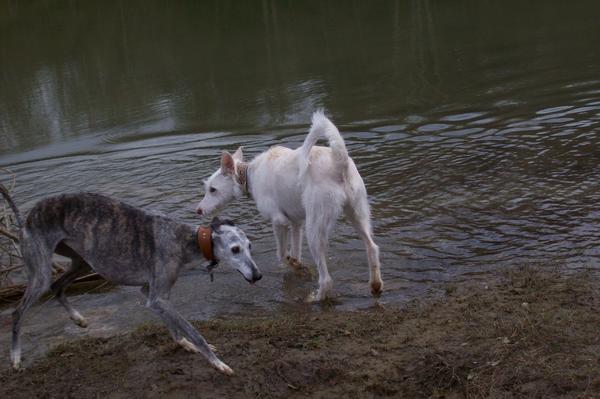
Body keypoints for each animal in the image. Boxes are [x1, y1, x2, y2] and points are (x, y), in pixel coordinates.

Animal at [197, 111, 384, 302]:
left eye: (212, 189)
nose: (198, 210)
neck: (249, 174)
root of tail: (340, 161)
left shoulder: (279, 222)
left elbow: (281, 254)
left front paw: (297, 267)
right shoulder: (295, 223)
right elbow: (294, 252)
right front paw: (298, 265)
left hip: (315, 228)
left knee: (326, 278)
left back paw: (317, 297)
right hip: (357, 215)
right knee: (372, 247)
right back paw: (375, 285)